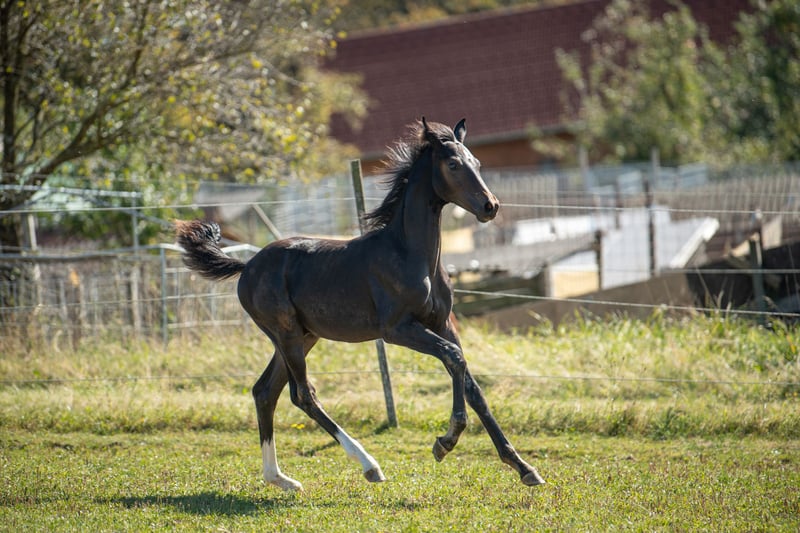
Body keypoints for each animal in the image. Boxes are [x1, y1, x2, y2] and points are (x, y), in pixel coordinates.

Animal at [176, 117, 545, 491]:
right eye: (453, 164)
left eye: (477, 163)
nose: (490, 206)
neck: (408, 254)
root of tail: (247, 266)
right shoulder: (398, 329)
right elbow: (454, 359)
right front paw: (446, 440)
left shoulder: (442, 324)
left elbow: (472, 384)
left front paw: (524, 467)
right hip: (287, 334)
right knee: (302, 394)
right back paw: (369, 465)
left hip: (303, 337)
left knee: (265, 391)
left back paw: (280, 478)